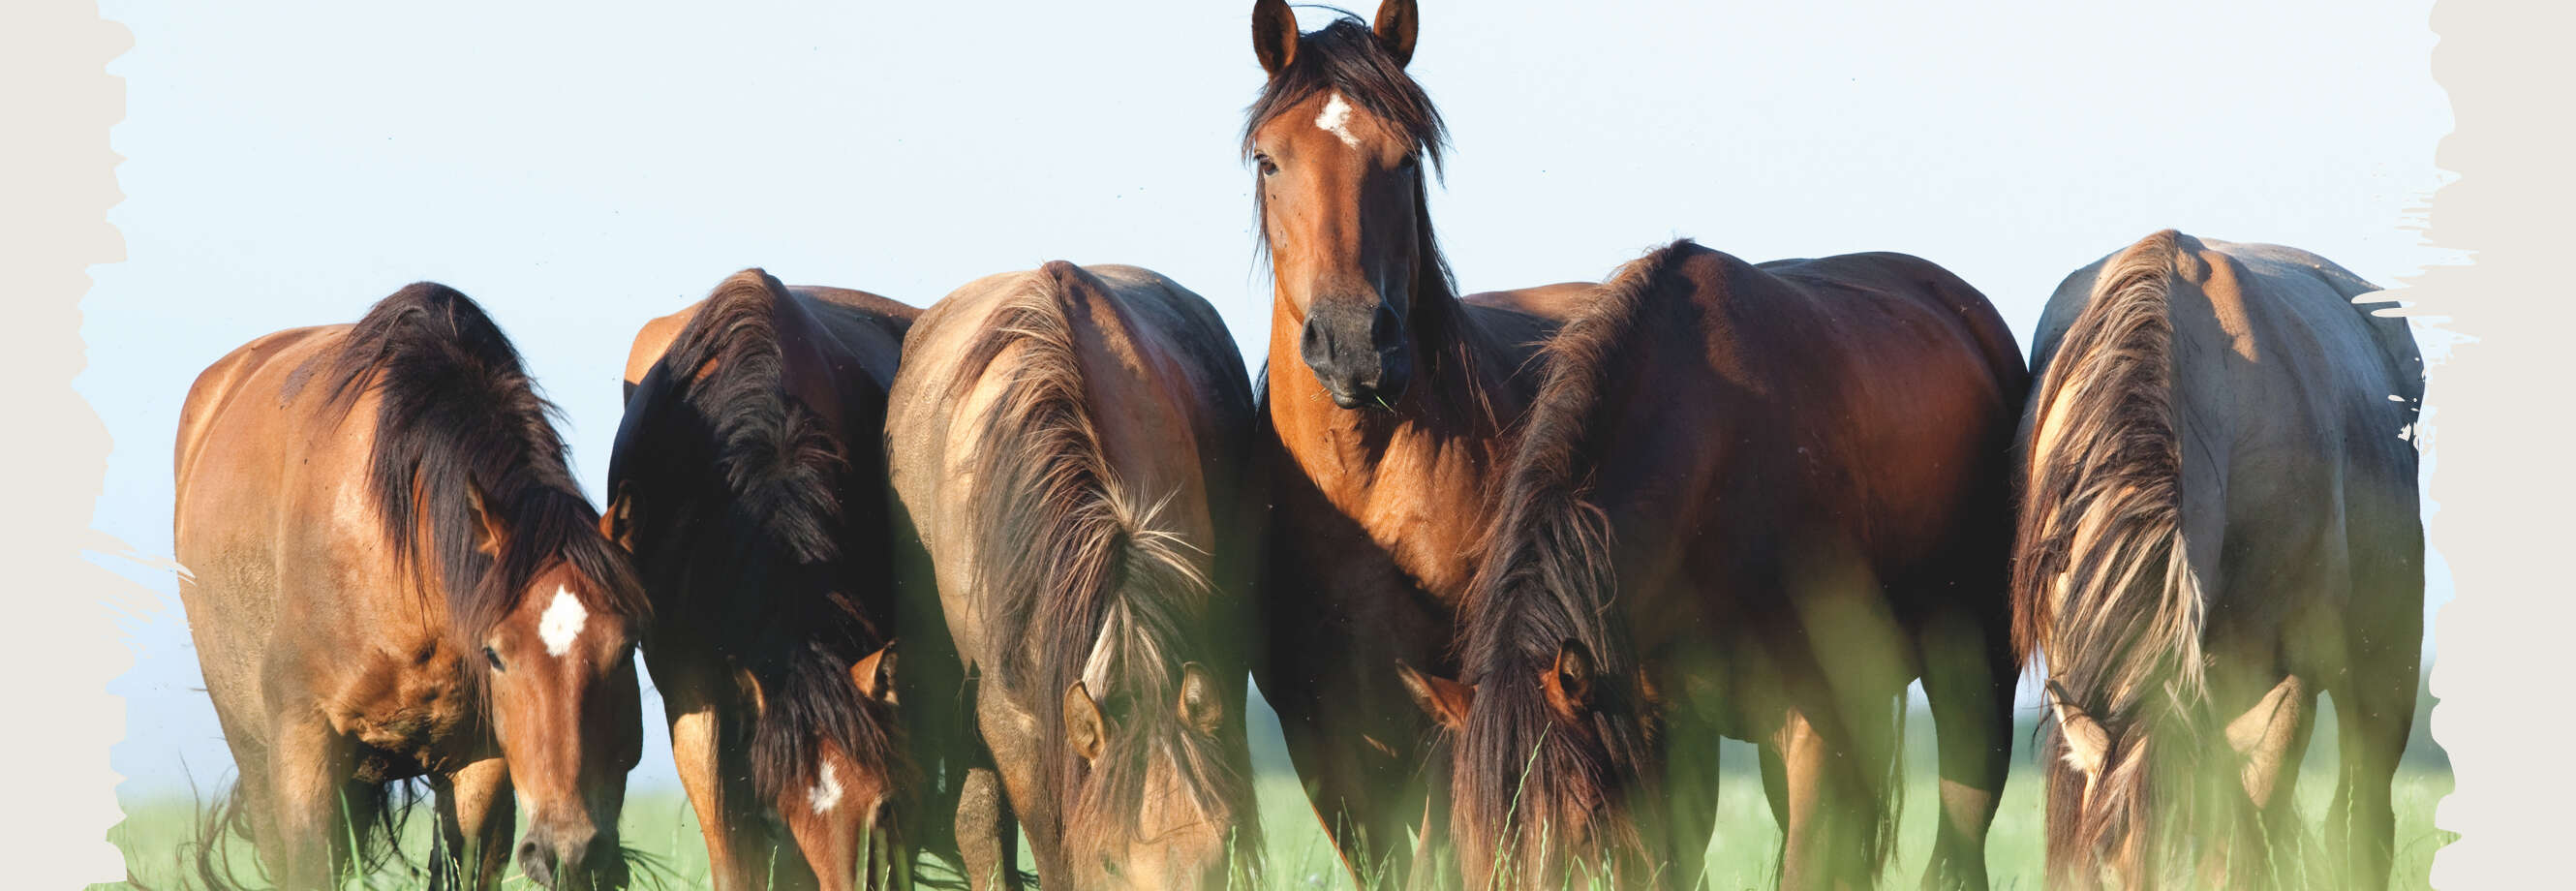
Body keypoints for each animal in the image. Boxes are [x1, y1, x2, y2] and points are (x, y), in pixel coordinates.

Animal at [173, 283, 651, 890]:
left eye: (627, 649)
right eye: (495, 655)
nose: (570, 852)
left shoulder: (479, 761)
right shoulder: (303, 744)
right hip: (256, 755)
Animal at [1239, 2, 1605, 883]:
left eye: (1405, 160)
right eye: (1269, 161)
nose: (1353, 344)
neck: (1364, 488)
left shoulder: (1450, 711)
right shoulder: (1321, 736)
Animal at [1395, 238, 2029, 890]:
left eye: (1583, 819)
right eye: (1470, 838)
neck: (1714, 464)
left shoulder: (1811, 726)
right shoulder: (1664, 729)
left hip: (1973, 674)